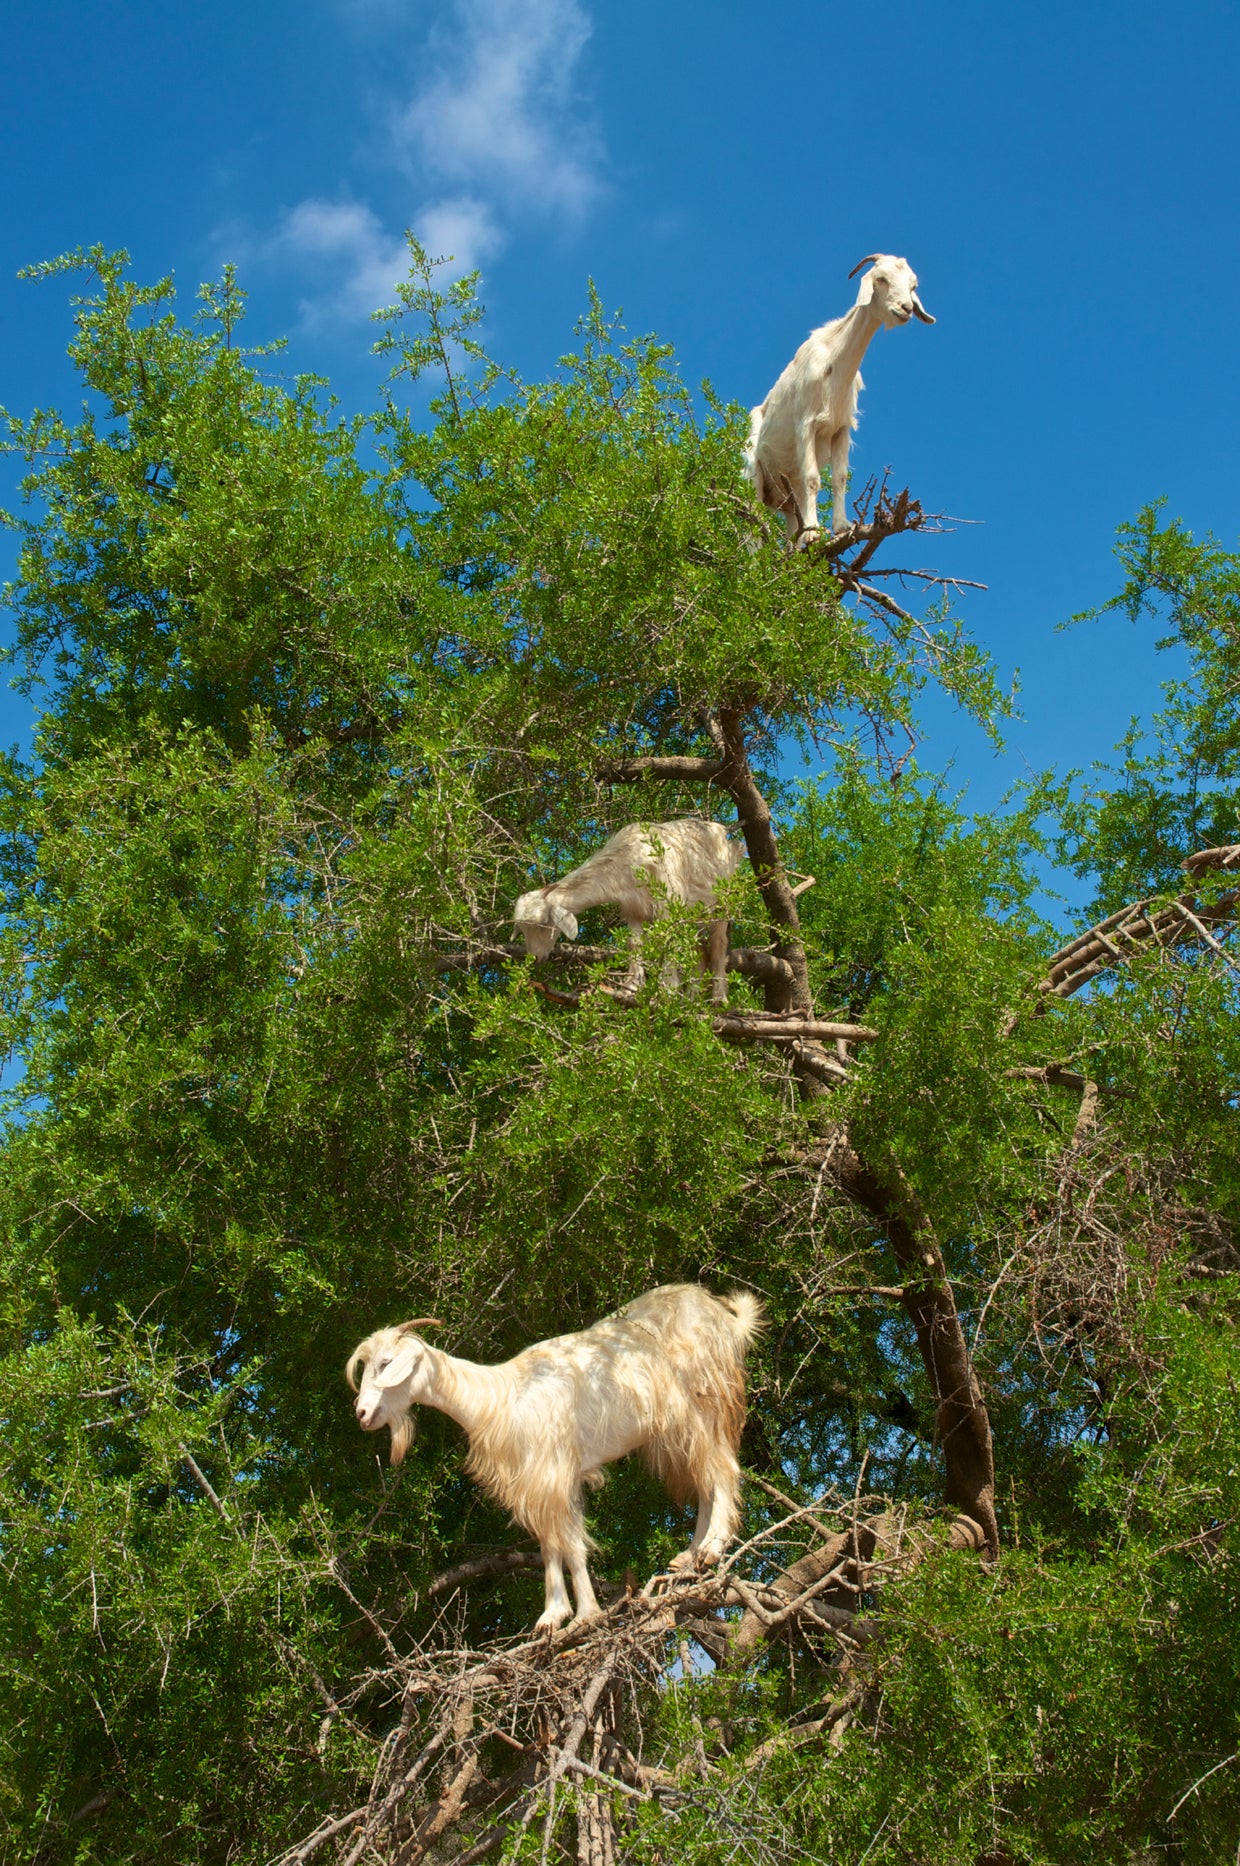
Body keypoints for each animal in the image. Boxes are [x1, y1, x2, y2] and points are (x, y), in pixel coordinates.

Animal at [347, 1284, 765, 1631]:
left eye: (386, 1363)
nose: (362, 1414)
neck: (499, 1398)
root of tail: (724, 1317)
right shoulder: (539, 1480)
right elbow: (552, 1545)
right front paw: (552, 1616)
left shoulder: (554, 1472)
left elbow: (571, 1545)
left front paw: (584, 1615)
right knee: (707, 1481)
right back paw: (689, 1557)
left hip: (702, 1404)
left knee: (723, 1471)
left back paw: (712, 1548)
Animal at [513, 819, 743, 1004]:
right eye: (522, 930)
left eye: (544, 923)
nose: (534, 958)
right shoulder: (634, 909)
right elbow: (635, 944)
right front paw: (632, 988)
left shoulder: (669, 903)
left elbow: (667, 942)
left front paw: (668, 991)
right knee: (699, 952)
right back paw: (691, 998)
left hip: (723, 900)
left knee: (718, 944)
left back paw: (719, 998)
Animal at [744, 254, 934, 541]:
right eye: (881, 278)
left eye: (912, 285)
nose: (906, 308)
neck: (834, 361)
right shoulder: (806, 424)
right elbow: (813, 479)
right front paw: (814, 532)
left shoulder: (841, 428)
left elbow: (839, 478)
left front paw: (842, 526)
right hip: (752, 474)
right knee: (753, 525)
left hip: (786, 492)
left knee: (791, 518)